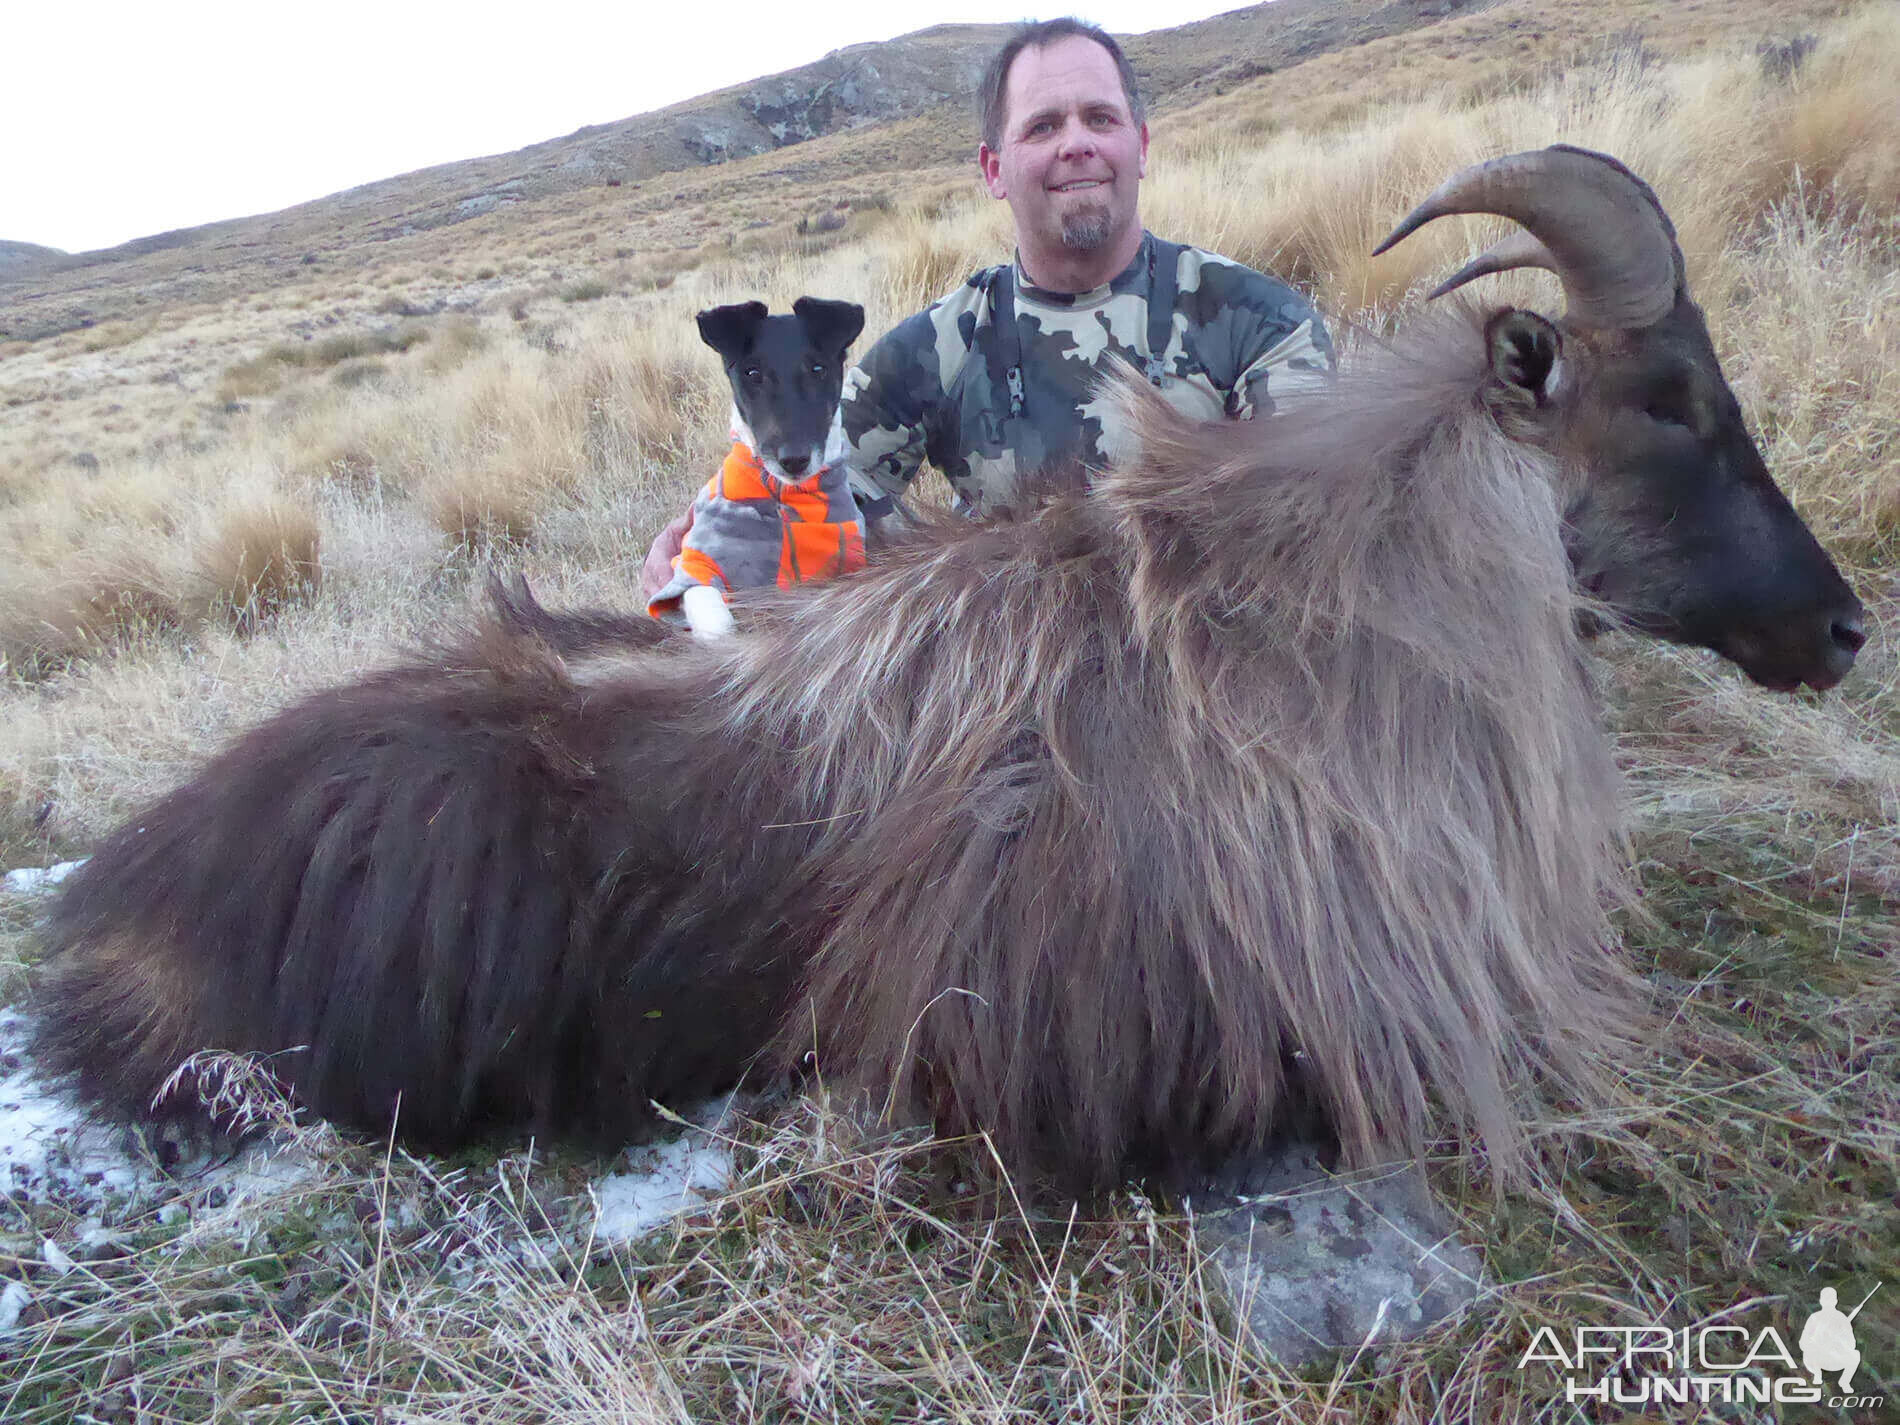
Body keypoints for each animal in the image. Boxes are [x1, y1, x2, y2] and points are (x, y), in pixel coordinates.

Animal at [646, 298, 870, 638]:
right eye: (752, 373)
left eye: (818, 369)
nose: (794, 460)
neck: (785, 498)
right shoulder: (696, 564)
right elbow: (714, 616)